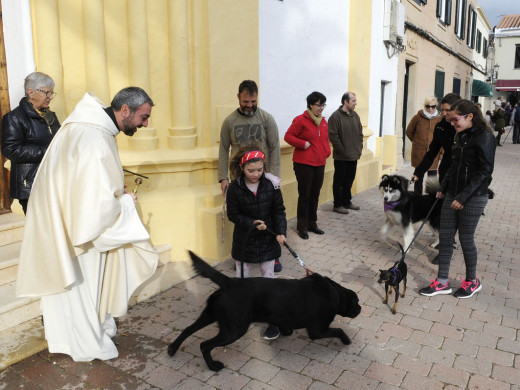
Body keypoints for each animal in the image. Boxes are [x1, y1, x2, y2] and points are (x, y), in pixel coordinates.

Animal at [168, 251, 362, 370]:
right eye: (356, 302)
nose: (360, 308)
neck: (333, 292)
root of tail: (230, 282)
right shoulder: (317, 330)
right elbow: (338, 330)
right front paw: (346, 340)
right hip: (233, 330)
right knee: (204, 345)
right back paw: (213, 366)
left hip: (210, 315)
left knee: (187, 329)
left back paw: (172, 349)